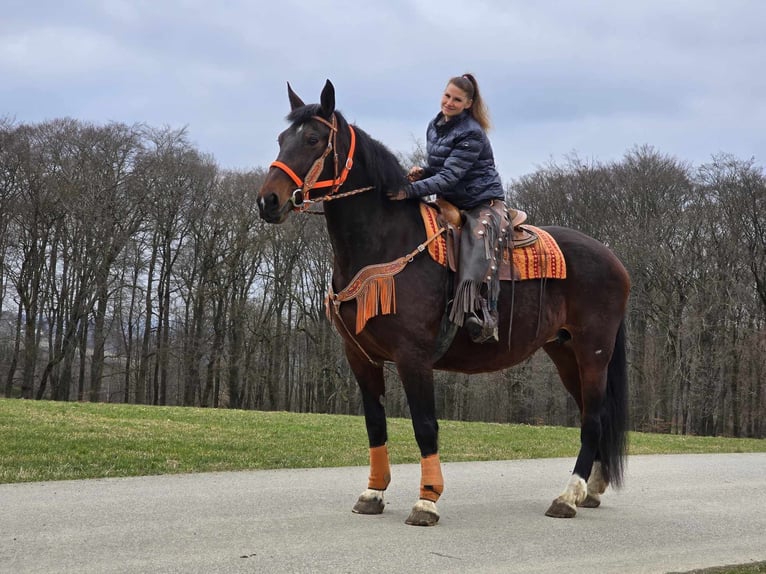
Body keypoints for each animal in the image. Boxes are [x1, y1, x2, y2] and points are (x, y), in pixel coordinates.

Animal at [258, 79, 632, 528]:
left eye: (313, 139)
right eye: (282, 139)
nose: (268, 200)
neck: (386, 240)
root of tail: (613, 259)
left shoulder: (413, 357)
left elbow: (425, 425)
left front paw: (427, 501)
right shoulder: (360, 356)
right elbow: (375, 425)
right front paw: (373, 493)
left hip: (593, 351)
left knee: (592, 418)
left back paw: (567, 497)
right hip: (565, 352)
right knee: (595, 414)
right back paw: (590, 490)